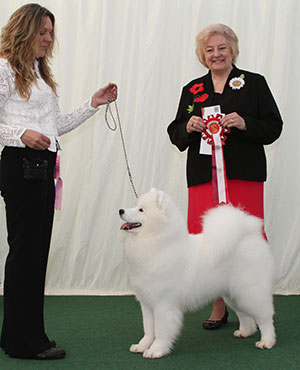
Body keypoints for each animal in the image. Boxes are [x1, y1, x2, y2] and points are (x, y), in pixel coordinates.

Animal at [119, 188, 276, 358]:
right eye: (135, 206)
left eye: (141, 210)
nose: (121, 210)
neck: (158, 242)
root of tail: (249, 234)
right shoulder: (147, 303)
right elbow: (148, 329)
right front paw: (142, 346)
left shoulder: (163, 304)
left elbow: (160, 330)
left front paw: (156, 350)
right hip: (234, 294)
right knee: (245, 315)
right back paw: (245, 332)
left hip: (250, 291)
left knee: (265, 317)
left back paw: (267, 341)